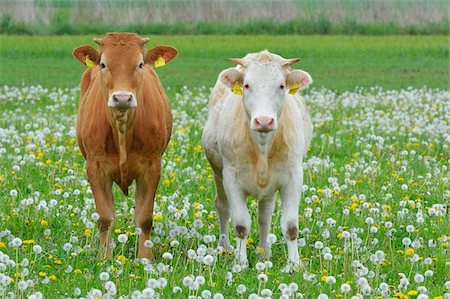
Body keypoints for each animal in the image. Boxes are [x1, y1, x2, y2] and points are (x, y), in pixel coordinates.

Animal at [73, 31, 177, 258]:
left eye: (140, 64)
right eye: (103, 64)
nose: (122, 98)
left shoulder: (151, 168)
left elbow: (144, 218)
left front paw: (146, 258)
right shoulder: (95, 168)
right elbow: (105, 218)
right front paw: (104, 257)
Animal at [204, 50, 312, 266]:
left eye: (281, 85)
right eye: (246, 85)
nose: (263, 121)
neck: (262, 147)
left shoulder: (293, 177)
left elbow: (290, 226)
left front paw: (295, 264)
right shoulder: (231, 178)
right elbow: (240, 225)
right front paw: (240, 263)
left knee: (265, 214)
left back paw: (264, 252)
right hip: (218, 173)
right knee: (223, 207)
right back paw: (225, 247)